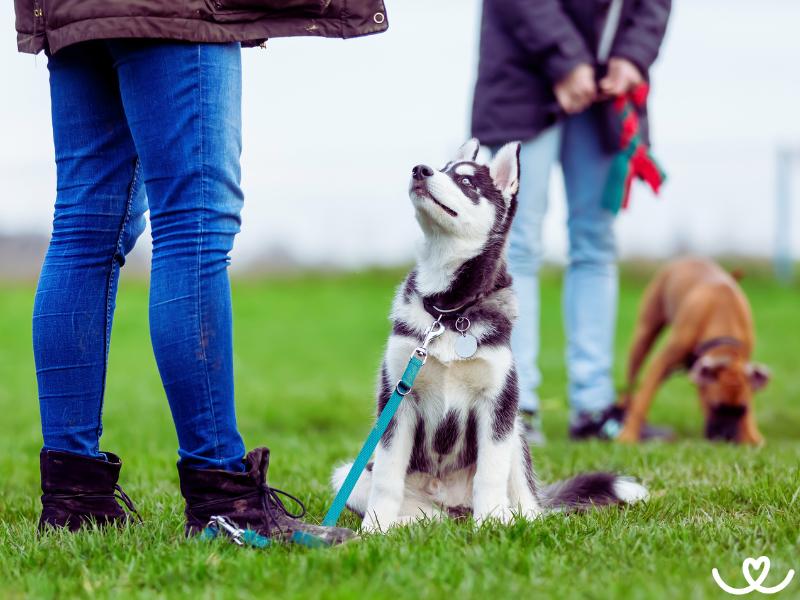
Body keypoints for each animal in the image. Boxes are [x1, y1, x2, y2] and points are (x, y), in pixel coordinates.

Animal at [332, 139, 648, 528]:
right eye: (441, 168)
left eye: (467, 182)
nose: (420, 170)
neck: (448, 311)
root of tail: (453, 506)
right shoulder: (397, 398)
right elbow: (388, 477)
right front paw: (375, 528)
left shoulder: (498, 403)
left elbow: (490, 473)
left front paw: (492, 525)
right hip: (350, 474)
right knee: (424, 513)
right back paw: (411, 526)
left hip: (516, 434)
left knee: (526, 502)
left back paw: (511, 518)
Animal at [620, 258, 768, 446]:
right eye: (715, 407)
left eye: (741, 410)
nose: (727, 439)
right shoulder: (661, 363)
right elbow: (643, 399)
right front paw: (629, 435)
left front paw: (750, 435)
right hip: (643, 337)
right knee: (631, 385)